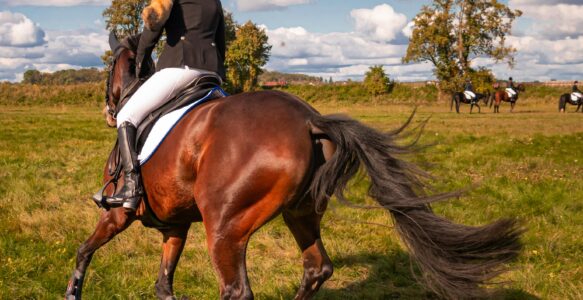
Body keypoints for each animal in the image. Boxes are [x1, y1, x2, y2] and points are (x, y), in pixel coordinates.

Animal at [65, 35, 524, 300]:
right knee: (317, 268)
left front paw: (73, 291)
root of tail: (309, 120)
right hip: (300, 212)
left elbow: (84, 250)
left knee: (237, 290)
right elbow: (164, 284)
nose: (108, 109)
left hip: (225, 227)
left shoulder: (118, 214)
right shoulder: (175, 224)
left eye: (107, 67)